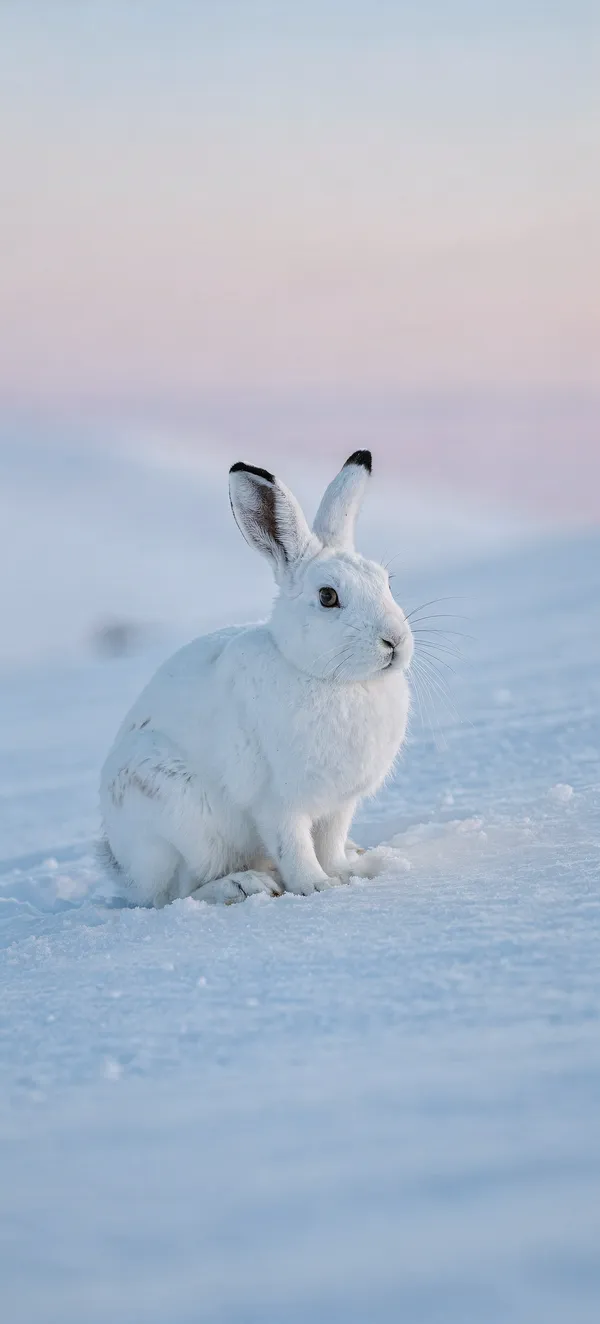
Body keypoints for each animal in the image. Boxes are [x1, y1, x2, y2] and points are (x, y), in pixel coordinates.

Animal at [99, 450, 413, 906]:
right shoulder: (277, 803)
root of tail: (123, 866)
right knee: (180, 891)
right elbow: (294, 846)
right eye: (327, 597)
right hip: (178, 817)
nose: (395, 641)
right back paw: (244, 885)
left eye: (386, 582)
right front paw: (317, 887)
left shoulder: (338, 806)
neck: (330, 679)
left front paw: (346, 873)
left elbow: (330, 842)